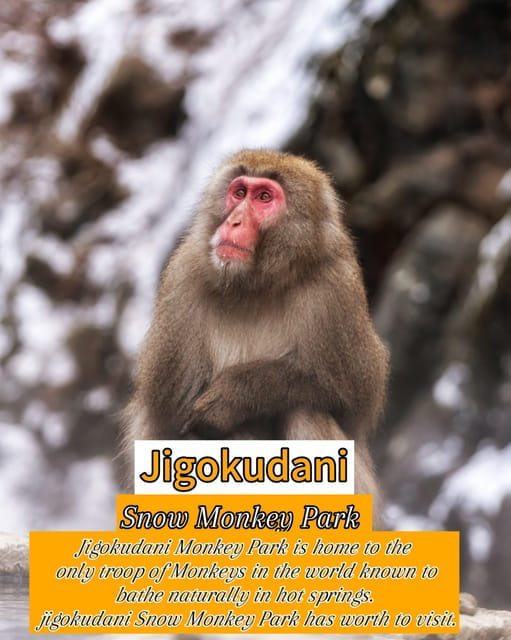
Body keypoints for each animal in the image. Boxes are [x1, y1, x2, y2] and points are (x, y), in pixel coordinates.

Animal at [123, 149, 389, 517]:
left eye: (264, 197)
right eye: (239, 193)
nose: (233, 221)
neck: (255, 287)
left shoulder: (338, 289)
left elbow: (356, 395)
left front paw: (235, 394)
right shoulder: (182, 281)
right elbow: (166, 428)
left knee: (305, 410)